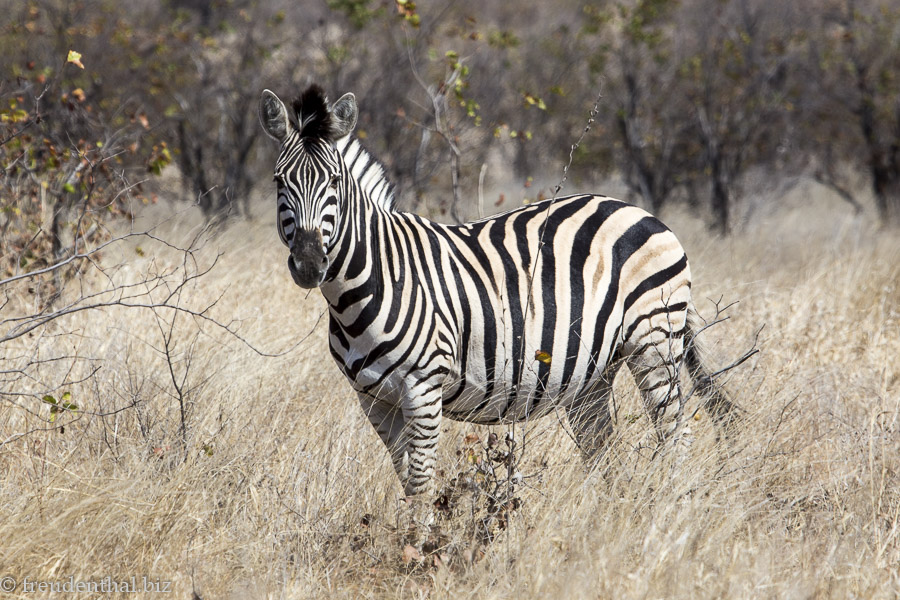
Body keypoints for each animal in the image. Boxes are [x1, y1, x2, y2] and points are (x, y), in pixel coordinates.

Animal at [259, 84, 735, 499]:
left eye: (334, 182)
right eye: (279, 182)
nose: (309, 264)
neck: (363, 288)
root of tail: (642, 212)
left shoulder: (423, 387)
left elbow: (421, 483)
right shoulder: (373, 399)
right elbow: (406, 479)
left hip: (655, 339)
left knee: (675, 434)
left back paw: (671, 512)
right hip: (595, 371)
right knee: (602, 449)